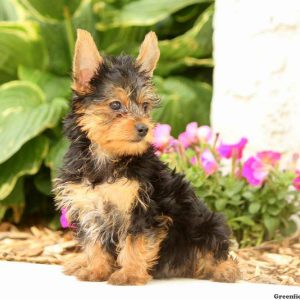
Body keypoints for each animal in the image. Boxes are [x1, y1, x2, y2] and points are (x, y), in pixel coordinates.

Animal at [55, 29, 240, 284]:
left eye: (144, 106)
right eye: (116, 105)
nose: (144, 128)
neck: (107, 158)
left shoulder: (143, 207)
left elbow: (135, 239)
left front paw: (129, 274)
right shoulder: (88, 205)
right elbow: (94, 241)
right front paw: (96, 268)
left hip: (204, 222)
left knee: (213, 246)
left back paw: (224, 269)